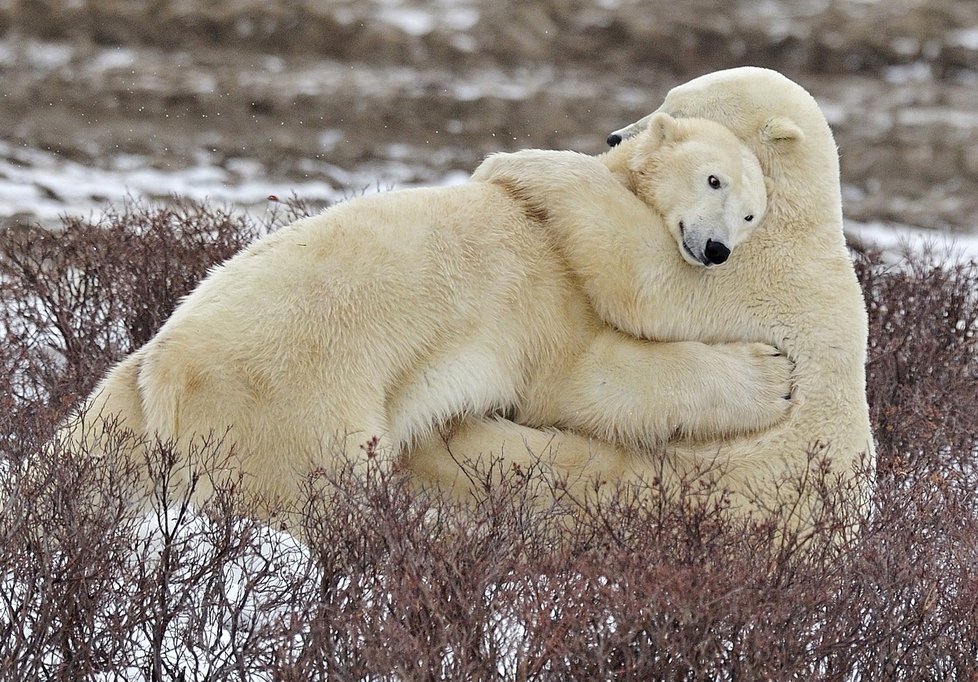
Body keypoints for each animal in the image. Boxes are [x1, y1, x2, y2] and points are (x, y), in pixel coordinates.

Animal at [63, 111, 784, 516]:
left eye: (753, 215)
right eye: (714, 180)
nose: (716, 249)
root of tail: (166, 371)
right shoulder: (549, 285)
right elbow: (587, 379)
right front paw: (773, 376)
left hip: (122, 407)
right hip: (292, 401)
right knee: (318, 489)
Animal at [408, 66, 872, 528]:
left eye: (680, 108)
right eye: (668, 98)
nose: (614, 137)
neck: (797, 214)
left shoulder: (751, 272)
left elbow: (644, 277)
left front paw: (514, 162)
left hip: (701, 477)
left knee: (566, 464)